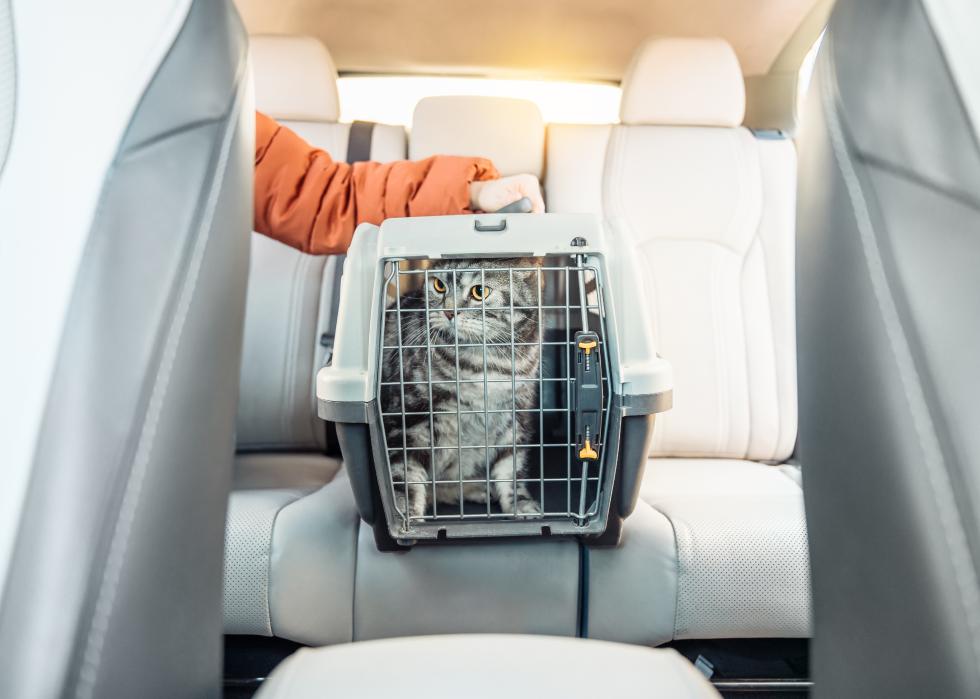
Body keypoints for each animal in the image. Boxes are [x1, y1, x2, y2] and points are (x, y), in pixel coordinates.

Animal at [380, 260, 544, 524]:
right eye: (439, 285)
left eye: (479, 291)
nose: (448, 311)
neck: (486, 362)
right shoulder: (409, 420)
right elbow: (405, 478)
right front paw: (409, 519)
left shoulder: (515, 417)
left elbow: (511, 470)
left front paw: (521, 506)